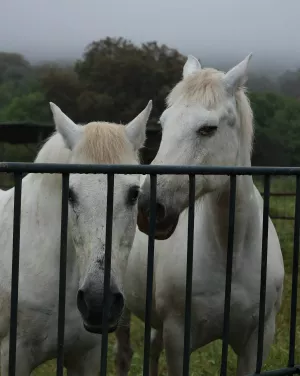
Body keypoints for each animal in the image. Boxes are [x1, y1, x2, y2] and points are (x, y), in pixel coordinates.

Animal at [116, 54, 284, 374]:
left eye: (207, 129)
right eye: (164, 124)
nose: (149, 209)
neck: (231, 252)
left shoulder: (258, 340)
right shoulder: (178, 338)